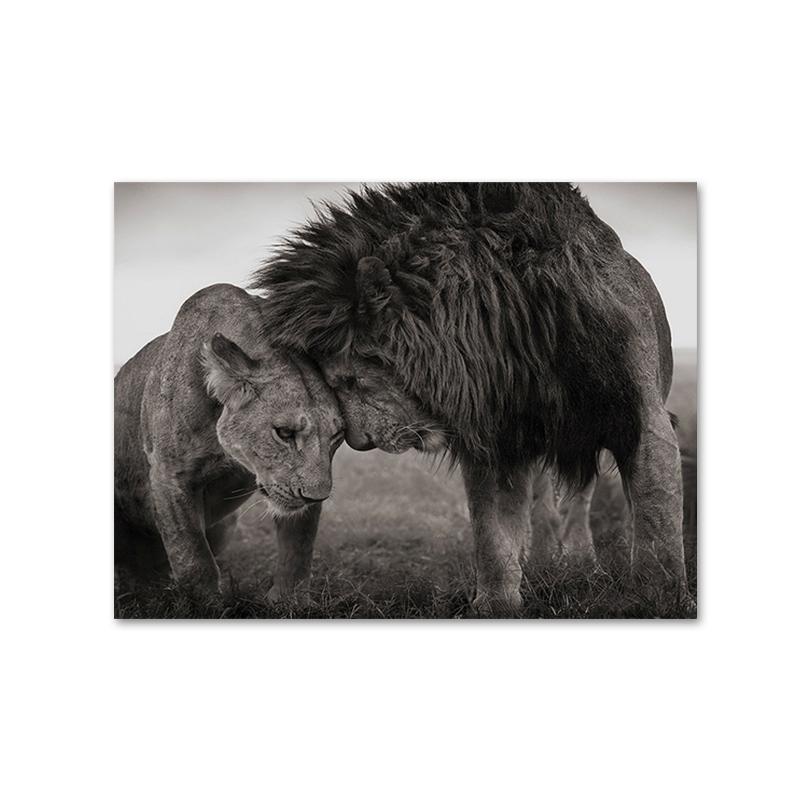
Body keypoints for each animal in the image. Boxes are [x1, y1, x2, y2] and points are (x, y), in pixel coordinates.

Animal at [114, 283, 345, 599]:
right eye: (284, 433)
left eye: (336, 436)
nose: (316, 497)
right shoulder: (169, 474)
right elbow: (193, 558)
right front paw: (205, 603)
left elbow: (298, 548)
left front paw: (289, 600)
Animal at [251, 183, 690, 615]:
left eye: (349, 380)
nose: (360, 443)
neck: (512, 333)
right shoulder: (494, 437)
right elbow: (492, 533)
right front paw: (496, 603)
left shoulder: (641, 419)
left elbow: (657, 523)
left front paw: (658, 601)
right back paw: (544, 560)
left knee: (579, 499)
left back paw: (582, 562)